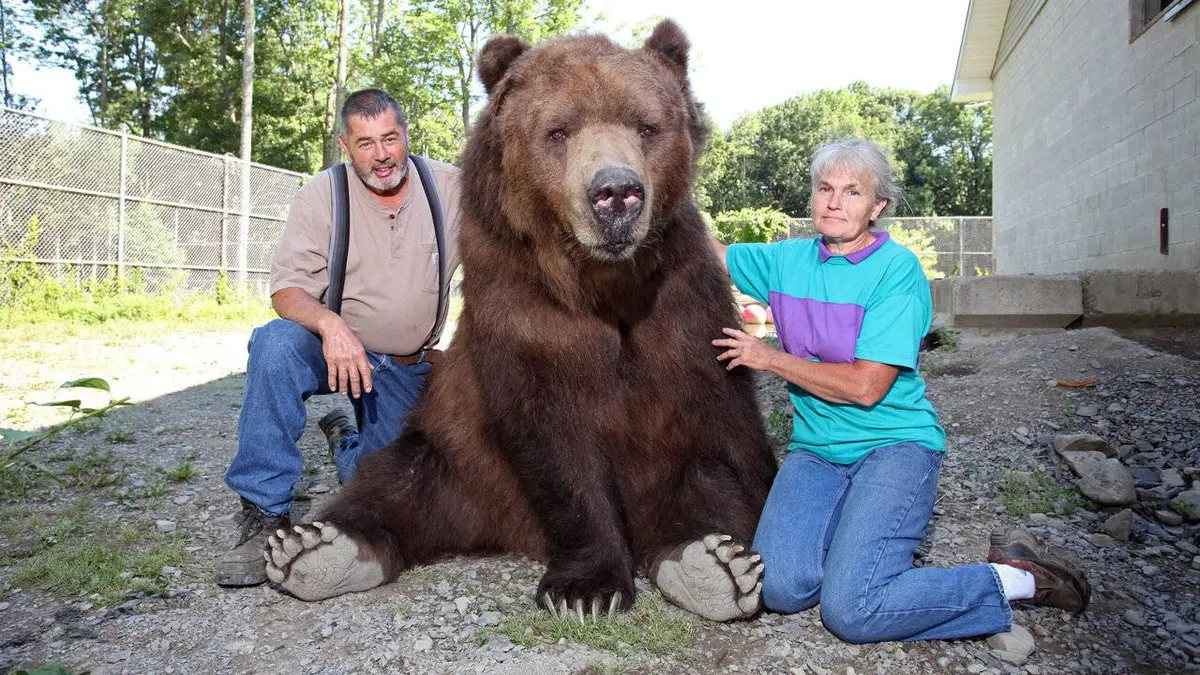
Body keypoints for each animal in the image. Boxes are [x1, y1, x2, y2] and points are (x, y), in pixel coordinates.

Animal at [264, 19, 778, 623]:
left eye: (646, 125)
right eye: (558, 130)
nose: (616, 194)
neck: (601, 284)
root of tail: (502, 531)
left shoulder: (682, 308)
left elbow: (725, 441)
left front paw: (731, 546)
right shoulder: (522, 308)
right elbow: (551, 438)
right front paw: (585, 588)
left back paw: (714, 565)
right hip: (459, 460)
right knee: (398, 481)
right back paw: (312, 548)